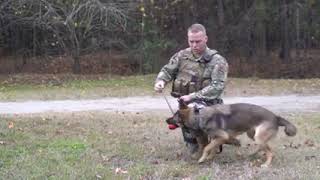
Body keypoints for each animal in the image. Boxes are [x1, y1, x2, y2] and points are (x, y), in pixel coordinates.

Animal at [168, 100, 298, 167]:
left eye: (173, 117)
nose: (166, 120)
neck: (198, 116)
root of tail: (276, 117)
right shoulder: (218, 138)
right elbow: (213, 148)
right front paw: (209, 157)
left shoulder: (222, 137)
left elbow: (207, 147)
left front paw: (202, 159)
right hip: (253, 134)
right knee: (266, 148)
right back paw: (252, 154)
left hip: (258, 137)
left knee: (269, 152)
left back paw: (266, 164)